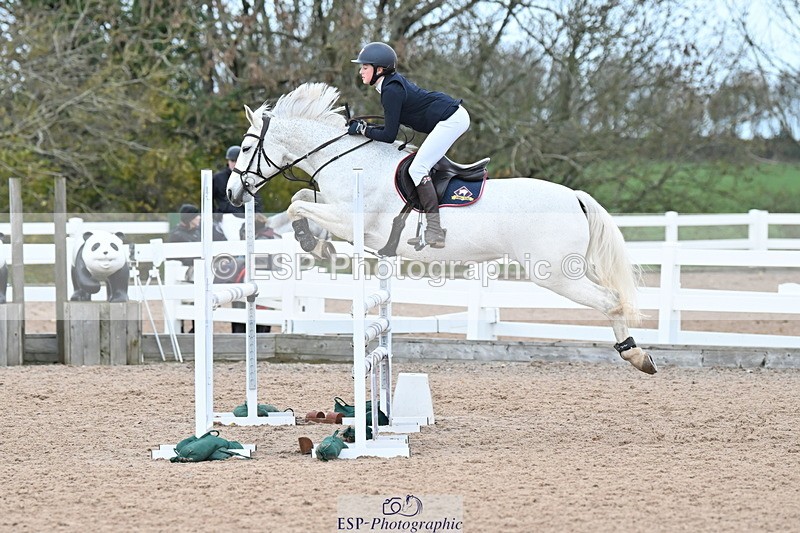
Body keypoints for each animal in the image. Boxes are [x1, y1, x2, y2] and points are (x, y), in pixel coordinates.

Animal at [226, 82, 657, 374]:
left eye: (246, 149)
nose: (232, 192)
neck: (344, 159)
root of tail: (575, 197)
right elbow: (302, 200)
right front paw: (315, 244)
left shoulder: (352, 221)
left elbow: (297, 203)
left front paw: (314, 246)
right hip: (568, 269)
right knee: (613, 297)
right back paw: (638, 354)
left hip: (553, 273)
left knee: (611, 300)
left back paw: (635, 355)